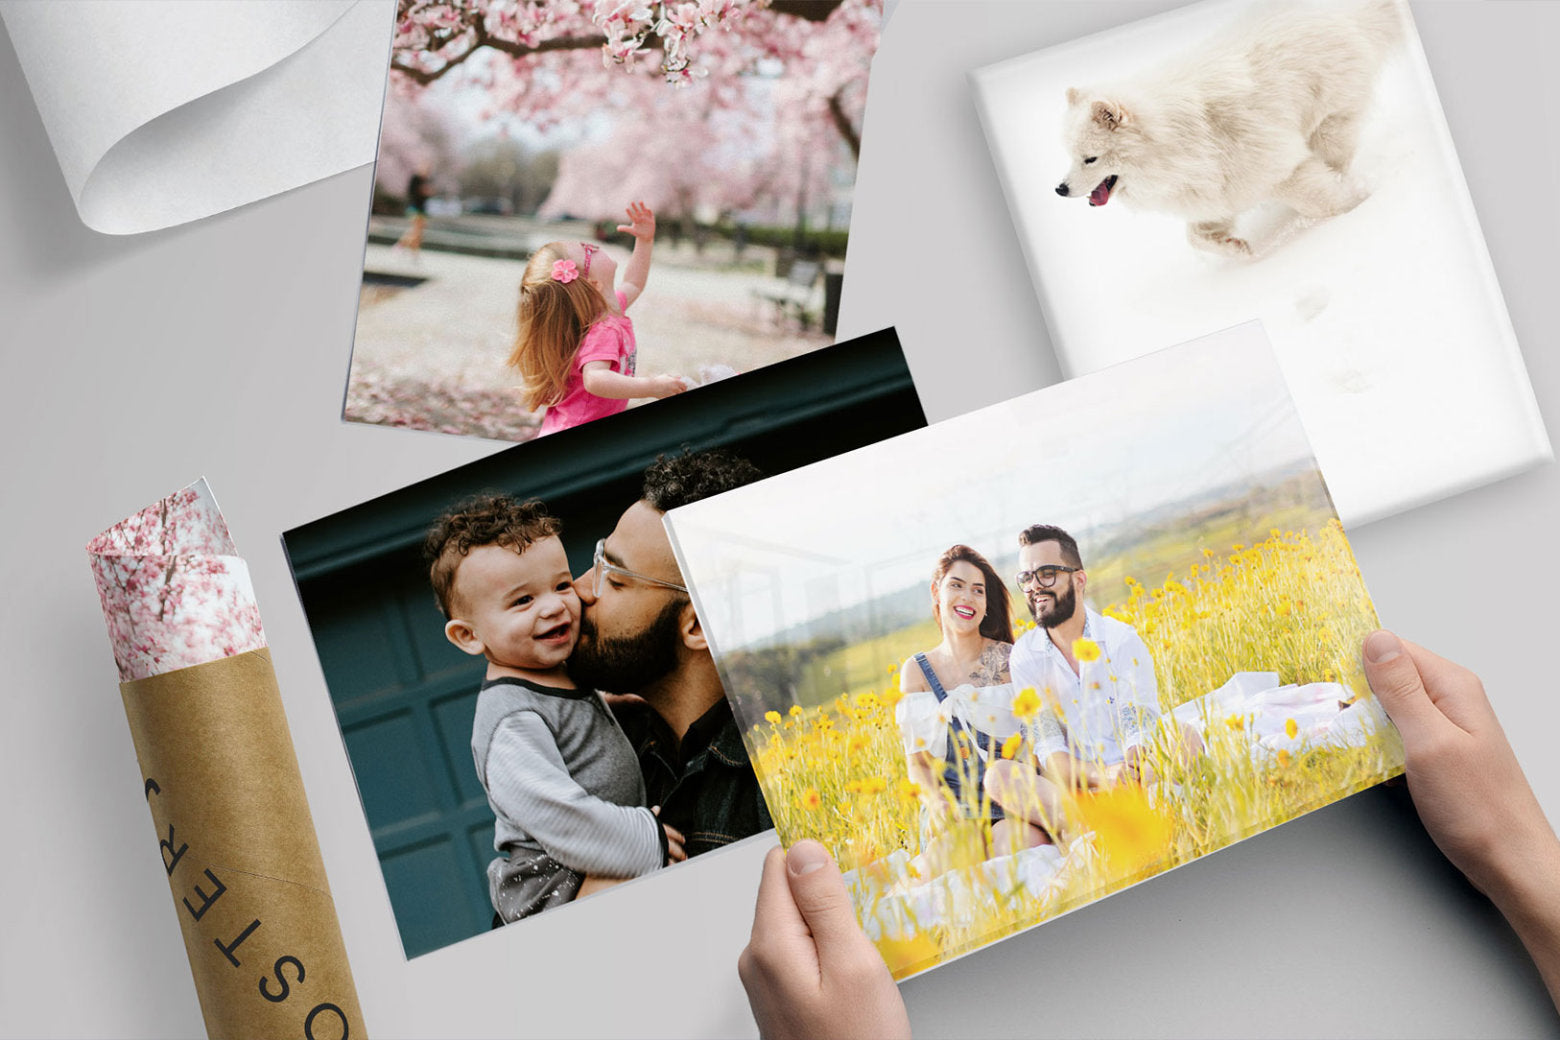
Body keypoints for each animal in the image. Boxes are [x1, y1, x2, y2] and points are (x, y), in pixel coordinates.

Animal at [1054, 1, 1410, 257]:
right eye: (1070, 156)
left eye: (1090, 158)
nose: (1060, 189)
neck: (1179, 139)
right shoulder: (1217, 187)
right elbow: (1195, 236)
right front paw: (1236, 249)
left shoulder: (1275, 167)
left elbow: (1321, 202)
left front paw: (1351, 212)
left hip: (1328, 118)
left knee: (1336, 154)